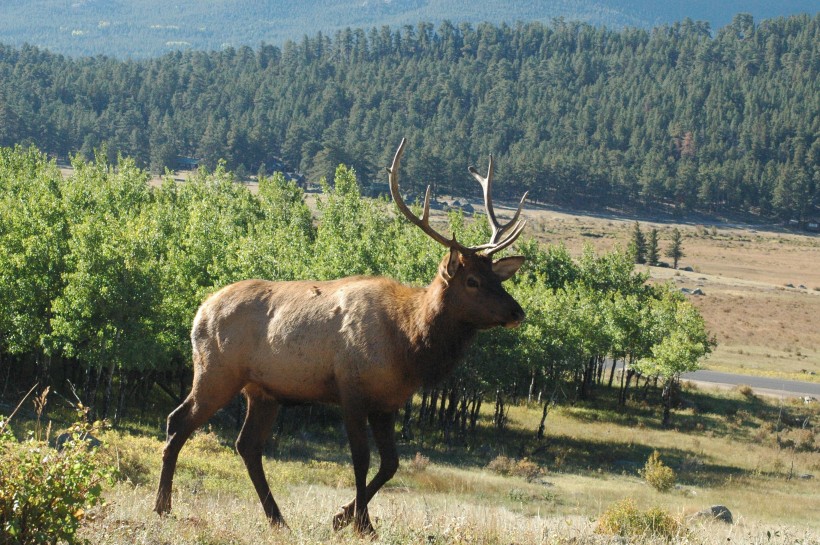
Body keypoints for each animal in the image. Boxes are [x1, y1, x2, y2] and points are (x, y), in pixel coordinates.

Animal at [153, 139, 524, 536]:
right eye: (472, 281)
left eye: (497, 277)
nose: (517, 312)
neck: (409, 347)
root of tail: (199, 312)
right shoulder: (352, 390)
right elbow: (361, 458)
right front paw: (362, 523)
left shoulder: (387, 402)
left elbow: (391, 463)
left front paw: (342, 516)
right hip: (216, 371)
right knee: (178, 421)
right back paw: (163, 507)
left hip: (262, 390)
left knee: (247, 444)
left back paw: (278, 519)